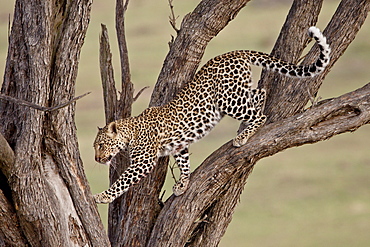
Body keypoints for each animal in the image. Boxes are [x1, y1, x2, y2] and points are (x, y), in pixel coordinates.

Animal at [92, 26, 330, 204]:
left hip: (228, 99)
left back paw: (243, 136)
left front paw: (102, 196)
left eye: (101, 145)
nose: (96, 159)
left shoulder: (143, 162)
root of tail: (234, 53)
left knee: (259, 114)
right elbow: (184, 163)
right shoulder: (179, 146)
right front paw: (183, 184)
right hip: (238, 91)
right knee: (260, 91)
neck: (129, 133)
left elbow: (122, 181)